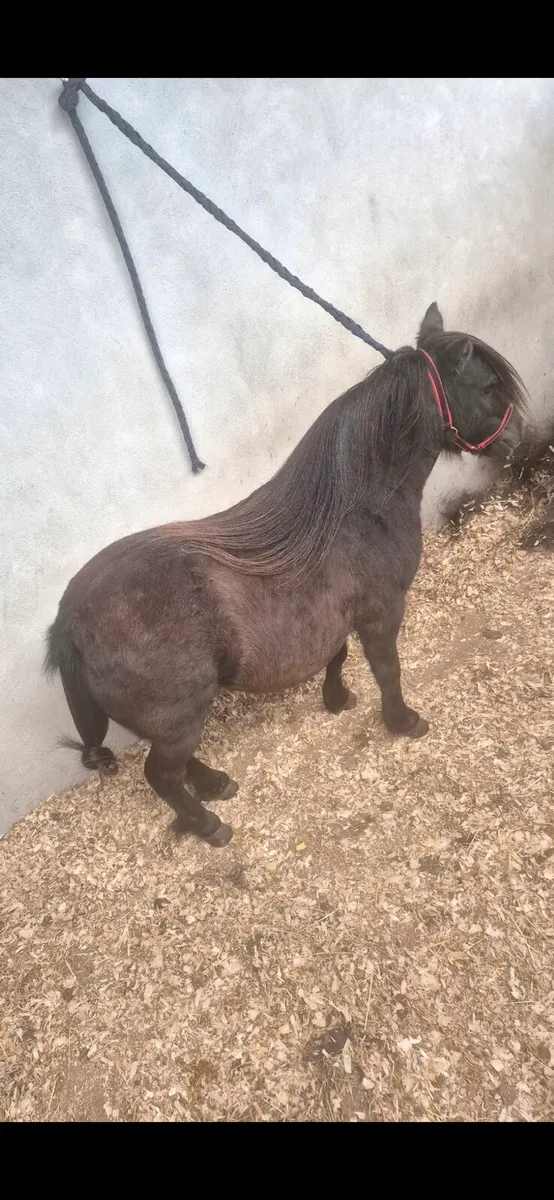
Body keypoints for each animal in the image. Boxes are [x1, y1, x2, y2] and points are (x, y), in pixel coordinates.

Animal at [44, 303, 526, 848]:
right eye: (487, 387)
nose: (515, 438)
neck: (351, 512)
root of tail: (70, 623)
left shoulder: (333, 617)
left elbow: (337, 656)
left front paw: (337, 700)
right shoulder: (382, 611)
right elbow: (387, 670)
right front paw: (402, 721)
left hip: (173, 719)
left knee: (176, 764)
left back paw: (215, 785)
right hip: (178, 716)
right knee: (161, 774)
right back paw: (209, 825)